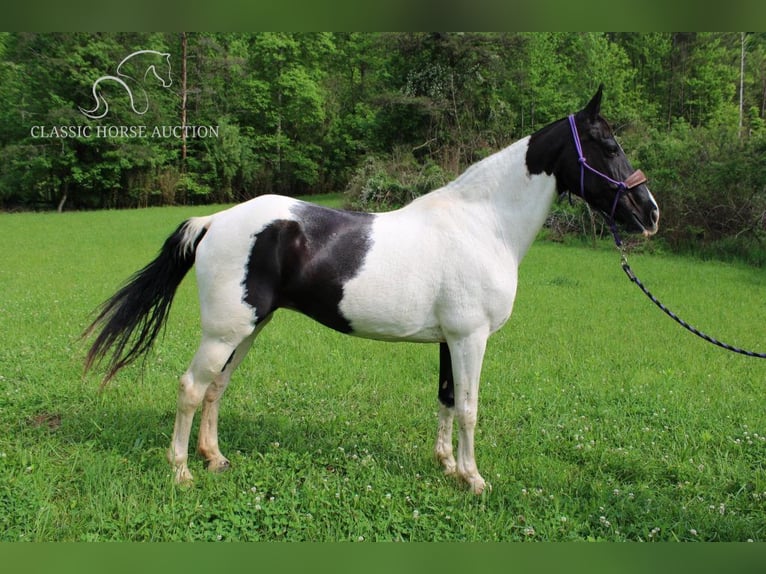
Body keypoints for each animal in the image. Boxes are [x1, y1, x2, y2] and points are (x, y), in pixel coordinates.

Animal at [84, 88, 660, 498]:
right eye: (608, 146)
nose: (650, 213)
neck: (483, 223)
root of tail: (214, 221)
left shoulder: (450, 339)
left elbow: (446, 398)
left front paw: (446, 466)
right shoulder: (470, 338)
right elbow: (469, 407)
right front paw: (474, 479)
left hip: (247, 329)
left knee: (215, 389)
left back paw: (215, 459)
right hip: (224, 332)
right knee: (189, 387)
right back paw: (182, 472)